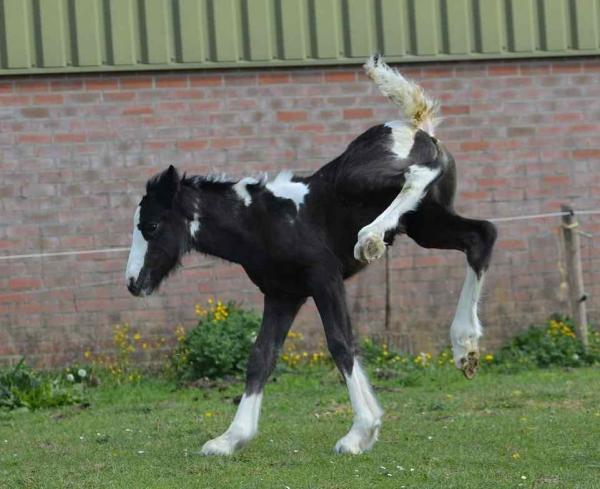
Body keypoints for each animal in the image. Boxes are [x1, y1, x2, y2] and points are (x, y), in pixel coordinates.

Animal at [125, 56, 496, 454]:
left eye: (151, 227)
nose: (132, 283)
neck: (263, 221)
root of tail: (415, 125)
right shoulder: (283, 295)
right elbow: (261, 357)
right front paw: (230, 438)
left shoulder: (324, 278)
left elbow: (341, 343)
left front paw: (360, 431)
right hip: (426, 225)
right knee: (481, 236)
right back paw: (465, 346)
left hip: (364, 181)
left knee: (417, 175)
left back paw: (370, 239)